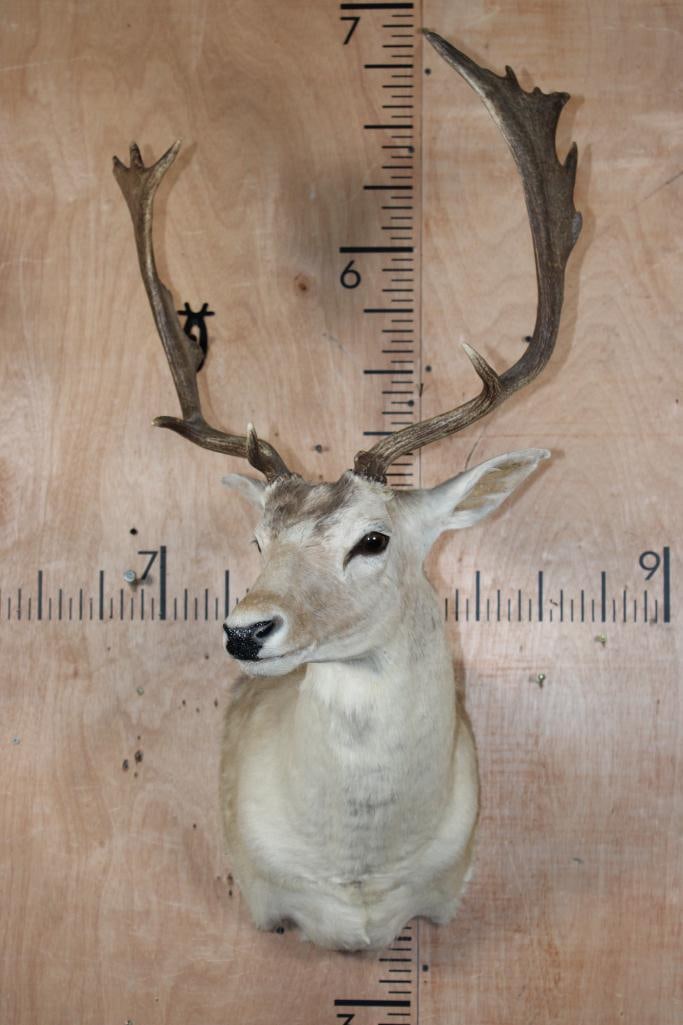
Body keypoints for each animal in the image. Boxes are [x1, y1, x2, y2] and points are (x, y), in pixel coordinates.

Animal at [113, 30, 581, 951]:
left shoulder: (443, 893)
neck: (360, 887)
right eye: (258, 538)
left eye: (373, 538)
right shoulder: (262, 899)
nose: (245, 629)